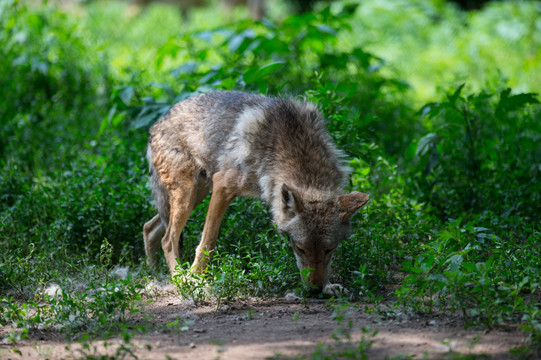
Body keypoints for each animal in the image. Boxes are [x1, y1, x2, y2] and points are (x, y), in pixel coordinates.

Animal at [141, 91, 370, 294]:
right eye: (300, 248)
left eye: (330, 249)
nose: (315, 290)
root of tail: (155, 125)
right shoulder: (223, 186)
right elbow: (208, 242)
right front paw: (195, 280)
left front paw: (330, 286)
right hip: (188, 195)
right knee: (168, 240)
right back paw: (180, 280)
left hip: (196, 194)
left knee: (148, 228)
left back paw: (155, 275)